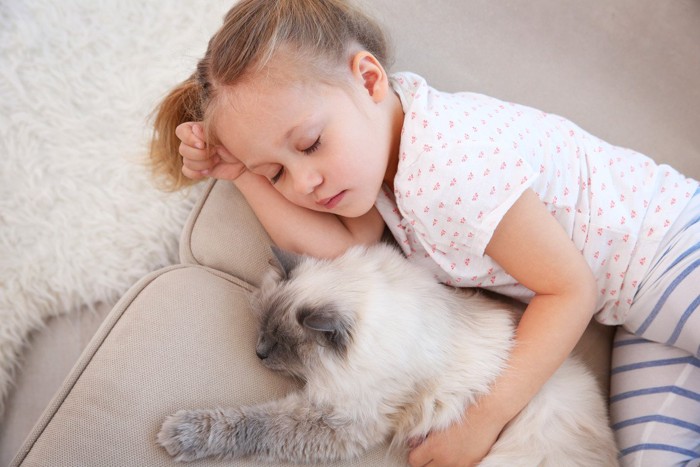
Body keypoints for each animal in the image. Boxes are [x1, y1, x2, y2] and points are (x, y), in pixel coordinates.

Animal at [159, 243, 616, 466]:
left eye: (281, 343)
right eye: (262, 330)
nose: (257, 353)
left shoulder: (340, 419)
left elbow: (253, 424)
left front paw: (181, 435)